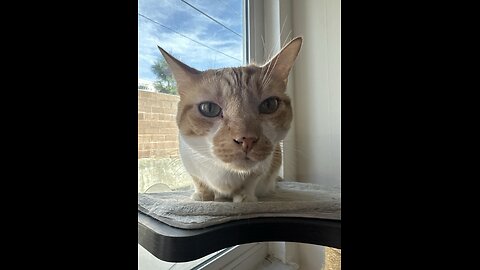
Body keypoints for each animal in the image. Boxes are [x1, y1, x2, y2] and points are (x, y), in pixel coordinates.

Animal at [157, 37, 300, 202]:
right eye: (209, 108)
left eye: (269, 105)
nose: (247, 139)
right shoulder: (188, 160)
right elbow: (198, 180)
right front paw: (202, 196)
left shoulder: (265, 164)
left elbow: (252, 180)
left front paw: (245, 198)